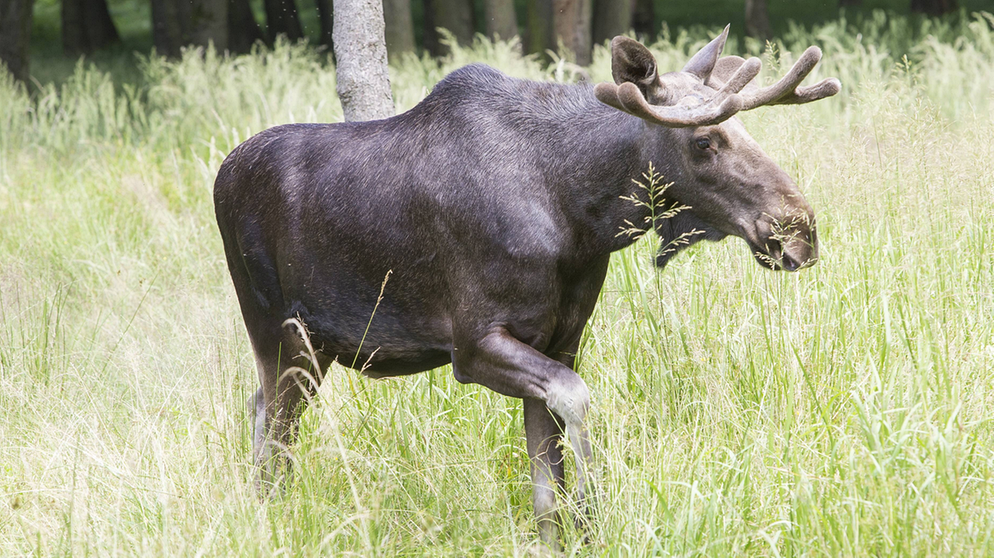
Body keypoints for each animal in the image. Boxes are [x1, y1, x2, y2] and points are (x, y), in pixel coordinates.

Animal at [215, 27, 836, 552]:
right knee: (276, 430)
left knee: (258, 409)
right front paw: (594, 515)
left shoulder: (560, 341)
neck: (582, 213)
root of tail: (222, 176)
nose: (799, 229)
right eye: (705, 141)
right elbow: (576, 402)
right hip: (279, 331)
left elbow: (545, 483)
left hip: (313, 346)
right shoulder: (474, 345)